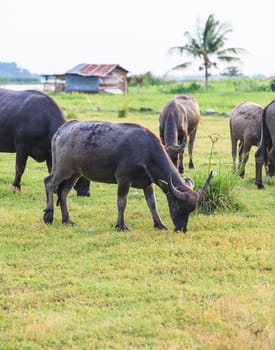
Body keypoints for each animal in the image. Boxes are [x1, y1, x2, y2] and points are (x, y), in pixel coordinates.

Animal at [43, 120, 213, 232]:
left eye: (192, 210)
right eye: (179, 207)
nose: (182, 229)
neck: (145, 150)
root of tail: (61, 131)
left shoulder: (148, 183)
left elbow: (152, 204)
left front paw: (160, 224)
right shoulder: (123, 179)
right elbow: (121, 203)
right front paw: (121, 225)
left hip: (75, 173)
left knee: (63, 192)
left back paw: (67, 219)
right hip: (62, 169)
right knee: (49, 182)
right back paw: (48, 216)